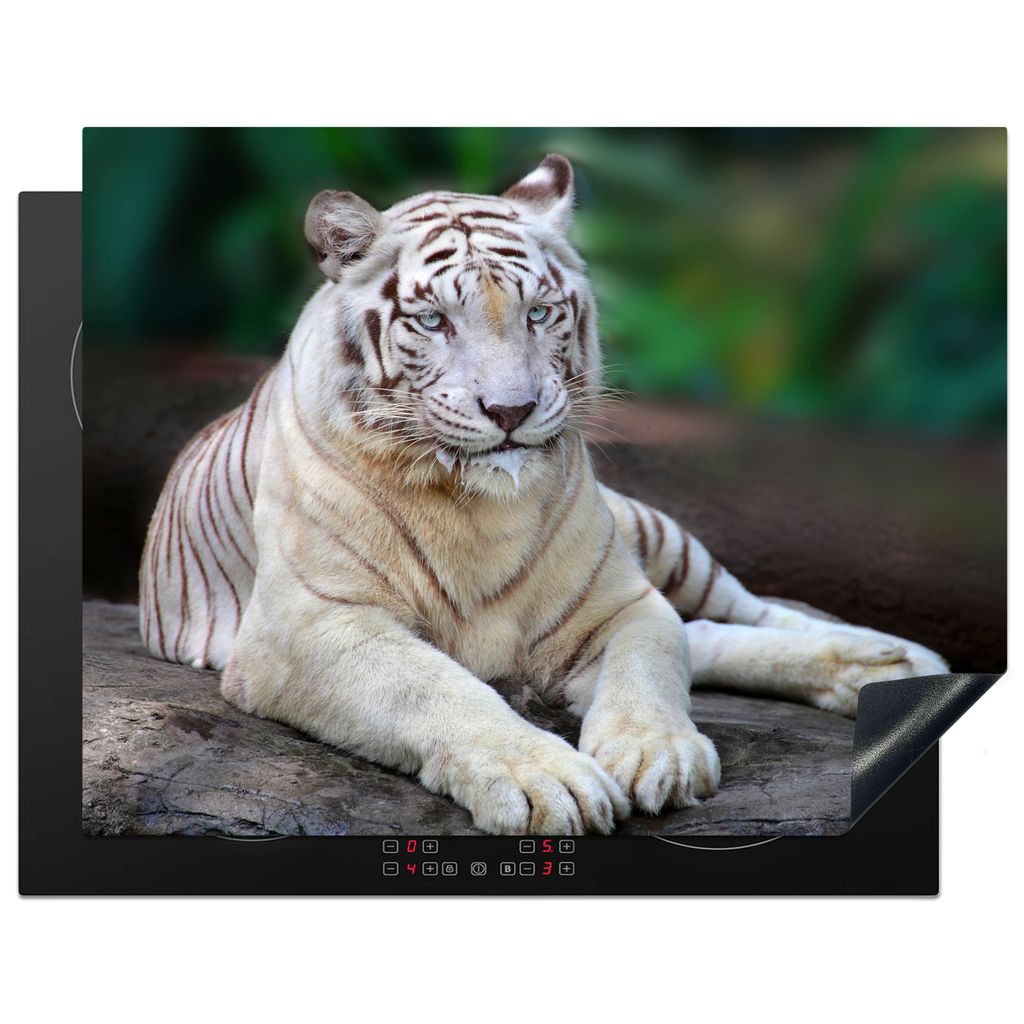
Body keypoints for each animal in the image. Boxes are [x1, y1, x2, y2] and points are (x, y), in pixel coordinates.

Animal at [139, 154, 948, 835]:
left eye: (539, 312)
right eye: (433, 320)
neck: (472, 507)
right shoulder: (310, 626)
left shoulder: (620, 603)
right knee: (709, 634)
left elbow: (652, 668)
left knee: (741, 614)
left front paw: (658, 754)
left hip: (655, 534)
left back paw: (890, 660)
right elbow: (438, 690)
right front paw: (543, 781)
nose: (511, 409)